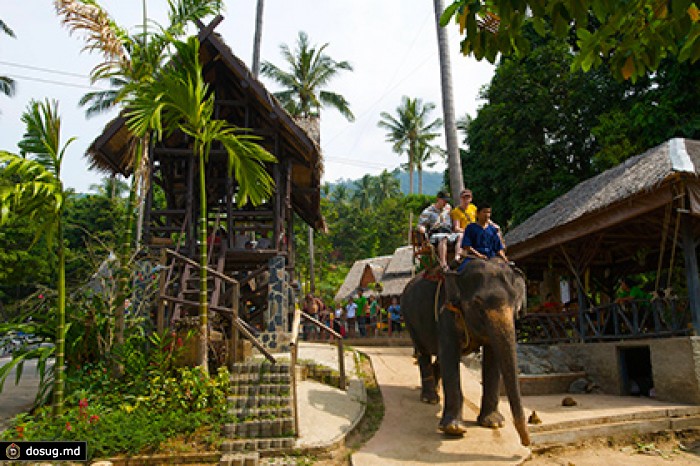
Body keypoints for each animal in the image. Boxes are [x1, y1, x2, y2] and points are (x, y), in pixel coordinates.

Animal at [400, 256, 532, 446]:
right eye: (477, 304)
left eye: (516, 304)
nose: (526, 442)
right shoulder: (446, 310)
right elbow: (449, 355)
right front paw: (453, 429)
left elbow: (492, 357)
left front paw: (493, 423)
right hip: (410, 320)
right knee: (423, 353)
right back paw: (430, 399)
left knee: (437, 358)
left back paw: (436, 390)